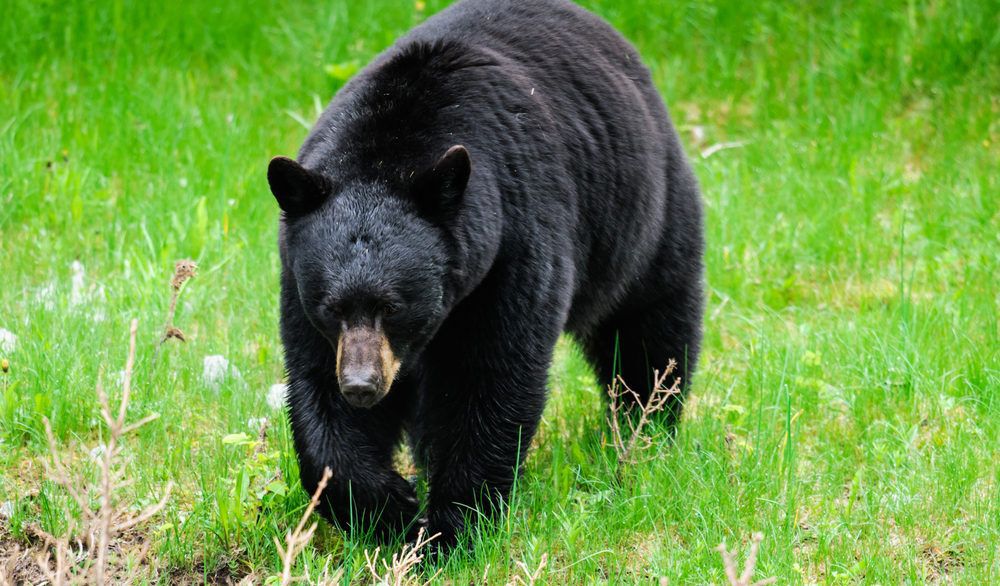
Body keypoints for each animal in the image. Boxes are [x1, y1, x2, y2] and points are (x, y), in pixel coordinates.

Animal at [267, 0, 705, 548]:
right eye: (332, 307)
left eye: (394, 306)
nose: (363, 385)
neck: (390, 147)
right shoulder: (298, 277)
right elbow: (316, 384)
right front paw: (386, 508)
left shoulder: (513, 242)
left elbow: (491, 378)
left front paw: (451, 527)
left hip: (645, 218)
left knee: (650, 328)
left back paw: (645, 427)